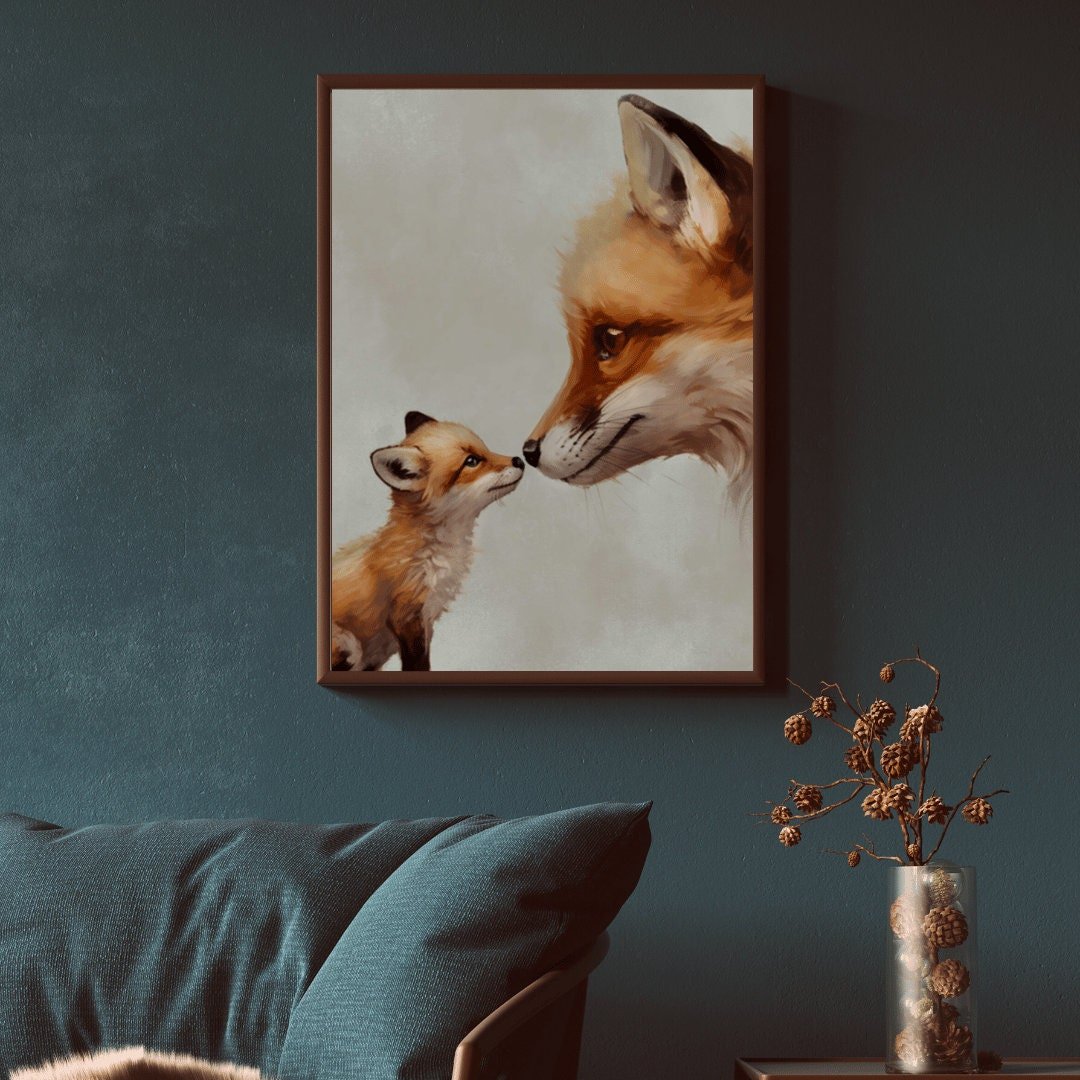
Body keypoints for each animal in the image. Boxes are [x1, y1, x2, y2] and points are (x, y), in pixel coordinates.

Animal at [331, 411, 524, 671]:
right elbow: (417, 664)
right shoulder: (406, 617)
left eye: (486, 448)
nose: (519, 460)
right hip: (350, 646)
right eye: (472, 461)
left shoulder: (427, 619)